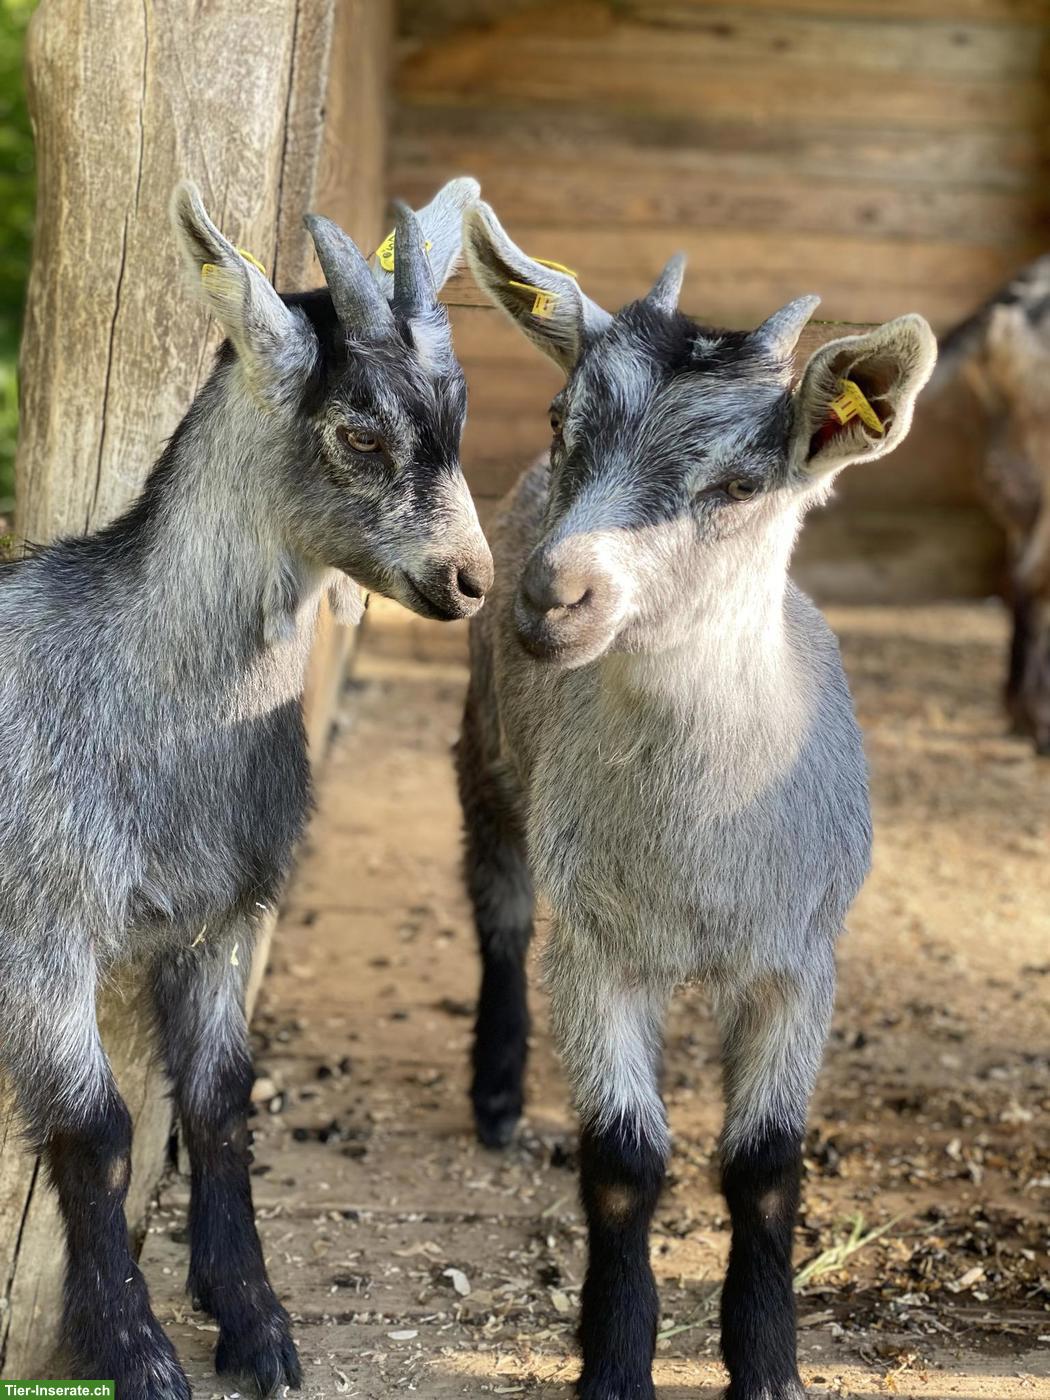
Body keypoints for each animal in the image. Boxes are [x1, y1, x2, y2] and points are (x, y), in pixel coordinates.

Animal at [0, 176, 490, 1400]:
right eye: (361, 431)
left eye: (457, 418)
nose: (471, 580)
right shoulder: (41, 926)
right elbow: (98, 1131)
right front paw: (134, 1348)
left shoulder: (226, 916)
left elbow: (219, 1104)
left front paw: (255, 1318)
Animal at [457, 203, 935, 1400]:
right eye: (562, 417)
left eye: (738, 487)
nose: (553, 592)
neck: (701, 853)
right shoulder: (597, 948)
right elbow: (624, 1161)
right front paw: (615, 1361)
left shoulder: (799, 956)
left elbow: (763, 1166)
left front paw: (767, 1365)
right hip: (490, 744)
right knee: (499, 904)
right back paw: (496, 1091)